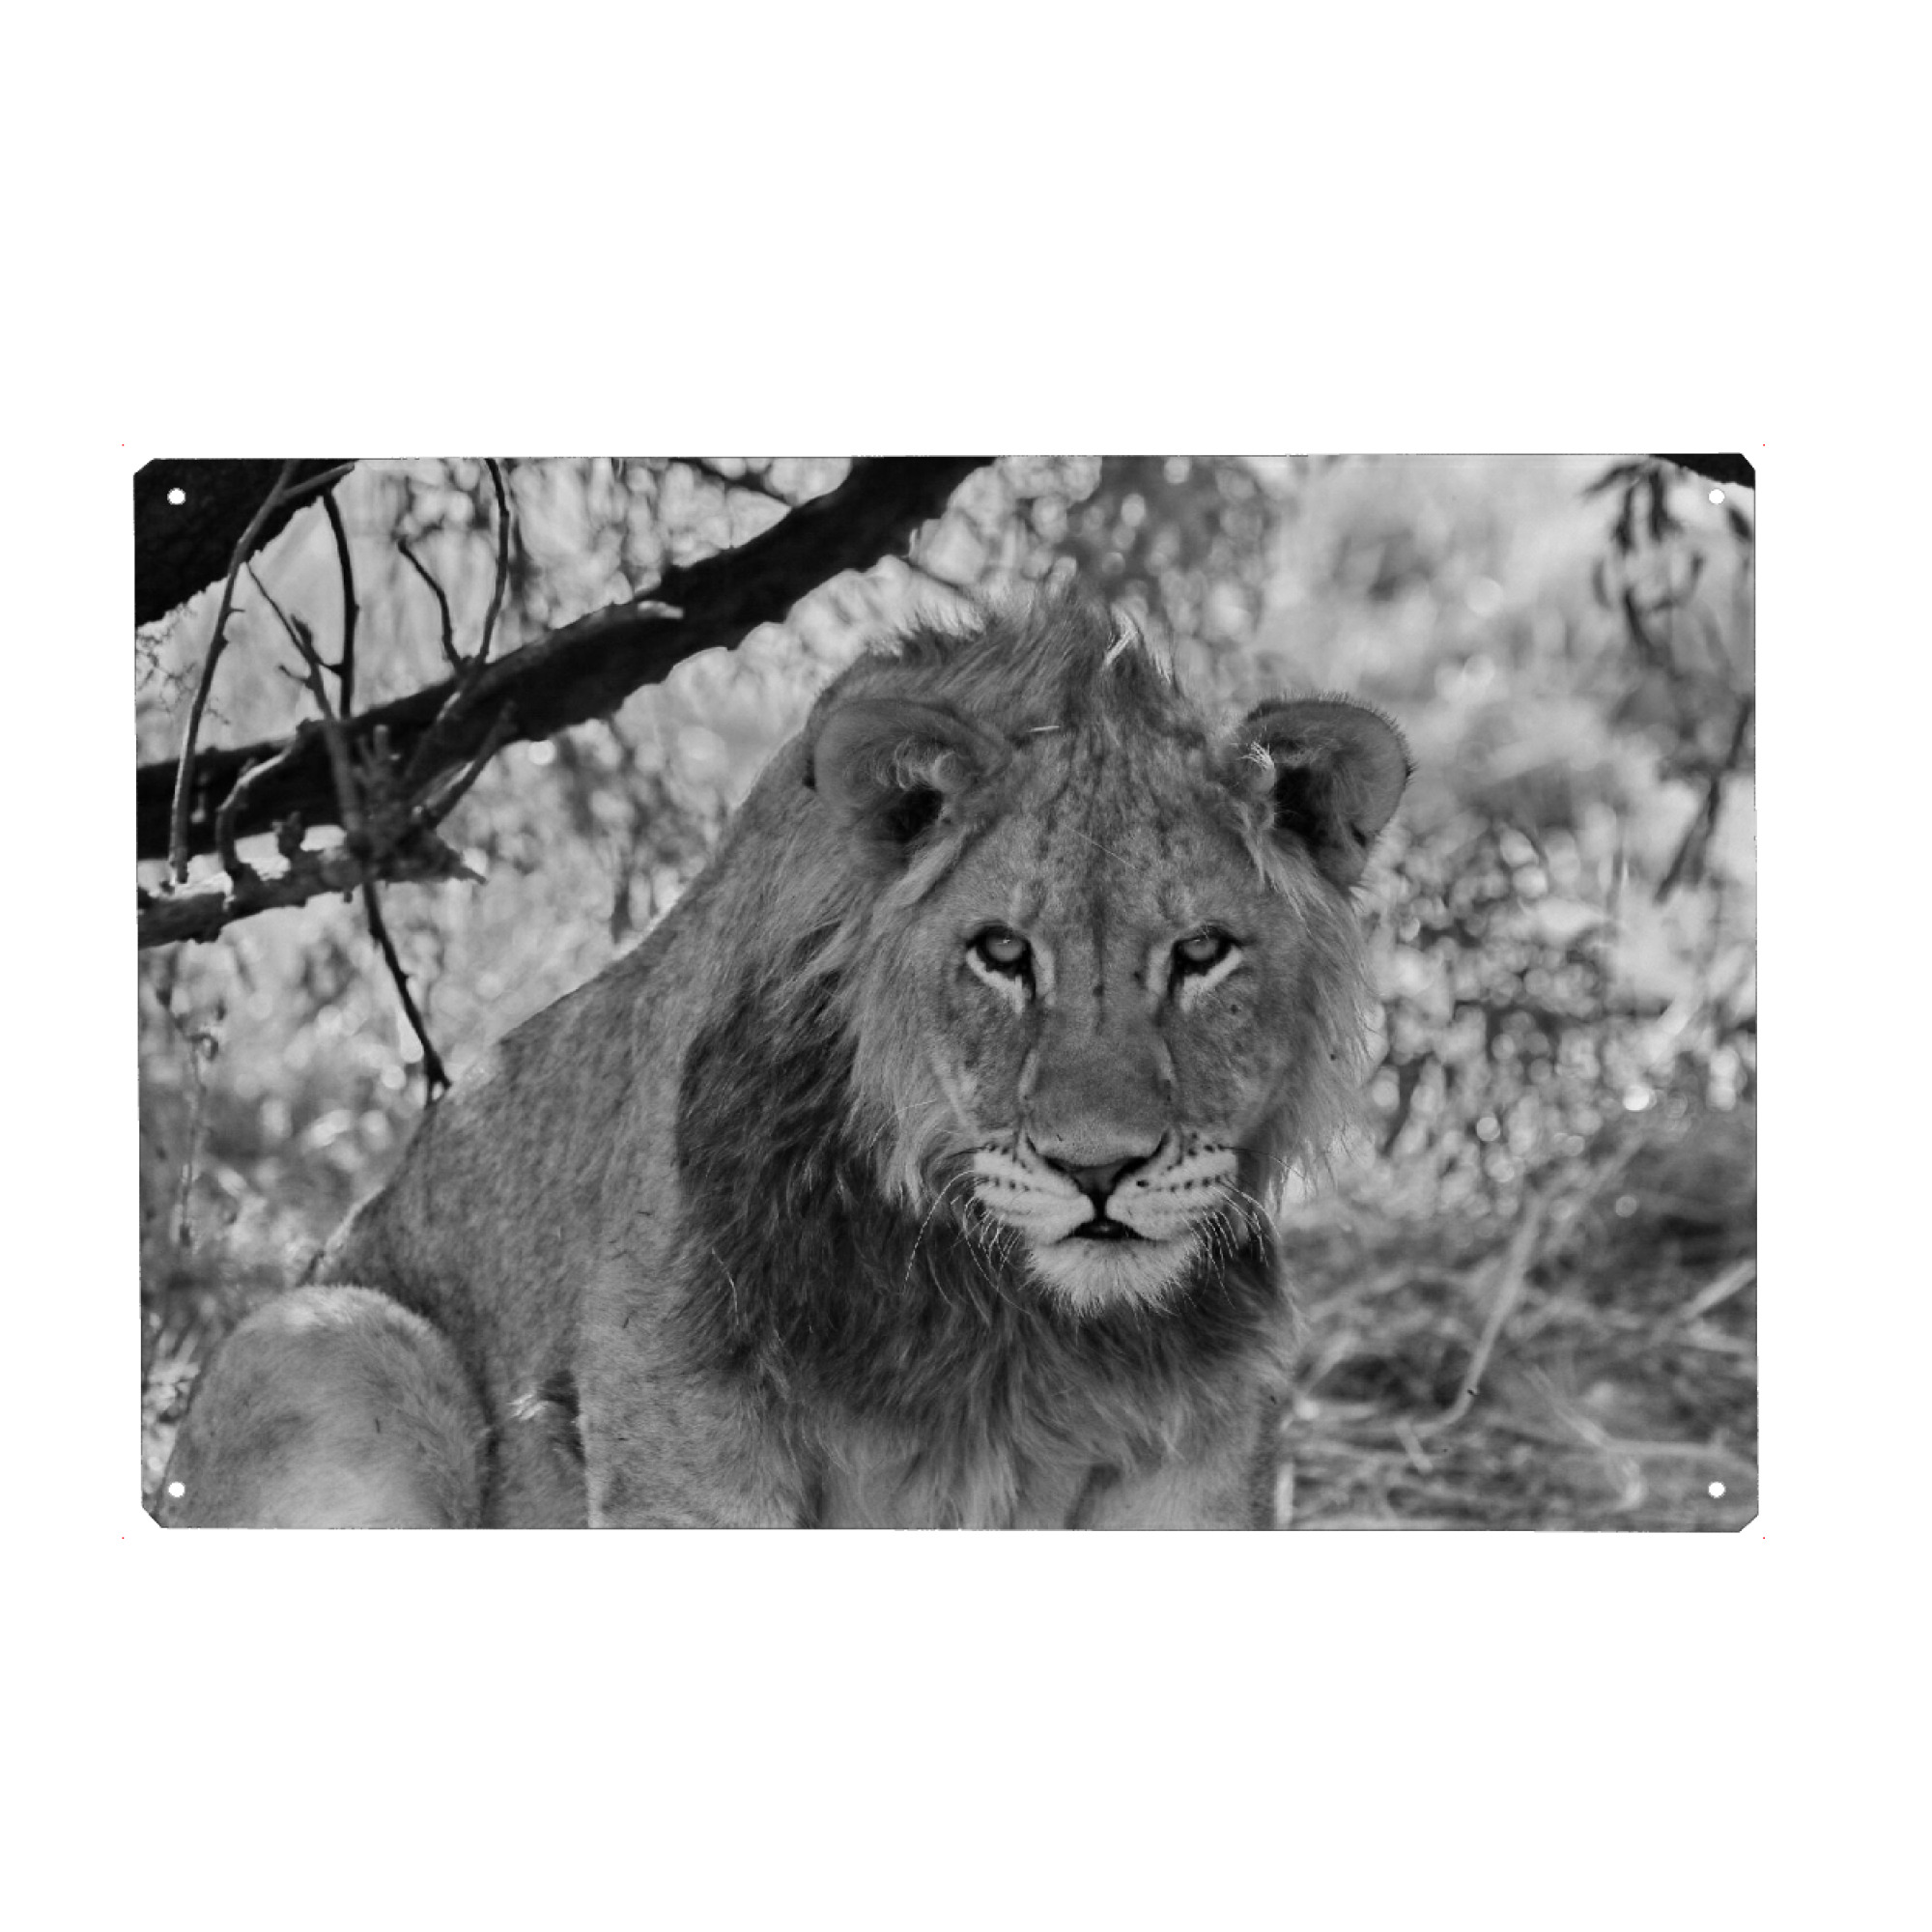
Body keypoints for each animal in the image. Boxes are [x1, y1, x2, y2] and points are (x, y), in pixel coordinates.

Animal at [158, 594, 1409, 1528]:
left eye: (1200, 953)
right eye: (1002, 952)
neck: (1011, 1313)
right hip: (337, 1337)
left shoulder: (1202, 1437)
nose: (1096, 1170)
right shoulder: (676, 1415)